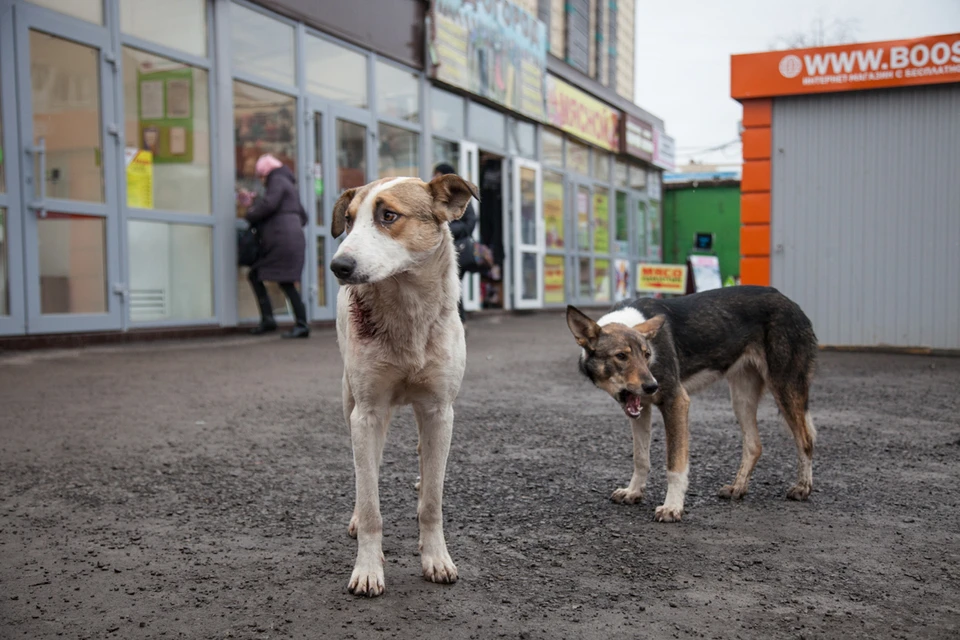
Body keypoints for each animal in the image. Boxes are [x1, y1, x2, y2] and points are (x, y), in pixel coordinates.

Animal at [330, 174, 480, 596]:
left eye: (389, 216)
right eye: (348, 220)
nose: (338, 265)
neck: (407, 307)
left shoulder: (439, 411)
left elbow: (433, 501)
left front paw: (436, 558)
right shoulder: (366, 413)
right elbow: (370, 503)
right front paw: (367, 568)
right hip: (350, 401)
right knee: (367, 468)